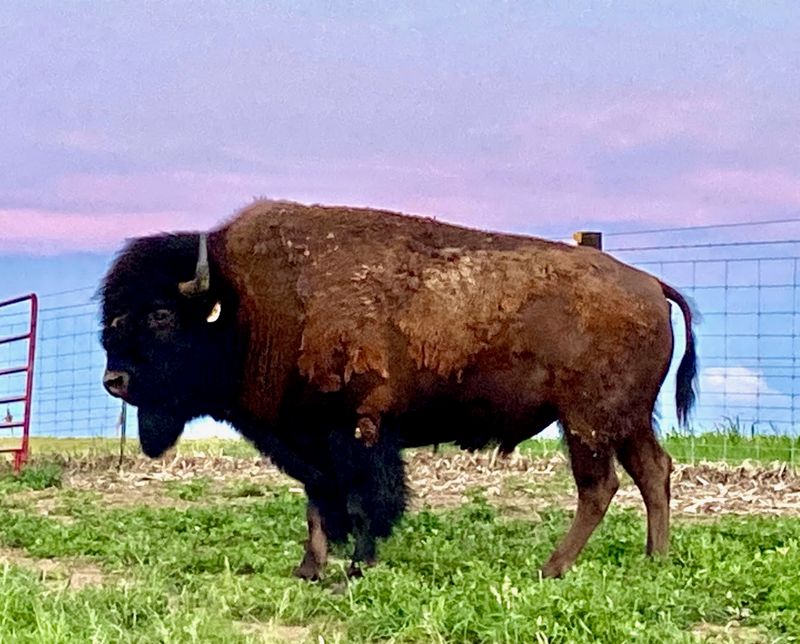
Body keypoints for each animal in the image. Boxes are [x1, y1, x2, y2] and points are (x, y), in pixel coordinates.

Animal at [100, 200, 696, 579]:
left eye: (160, 315)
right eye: (113, 317)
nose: (114, 380)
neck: (246, 305)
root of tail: (650, 284)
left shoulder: (358, 431)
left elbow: (367, 500)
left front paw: (357, 566)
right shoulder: (308, 440)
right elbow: (317, 502)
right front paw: (309, 569)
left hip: (588, 421)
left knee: (600, 486)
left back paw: (552, 567)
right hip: (626, 419)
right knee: (652, 472)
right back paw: (655, 558)